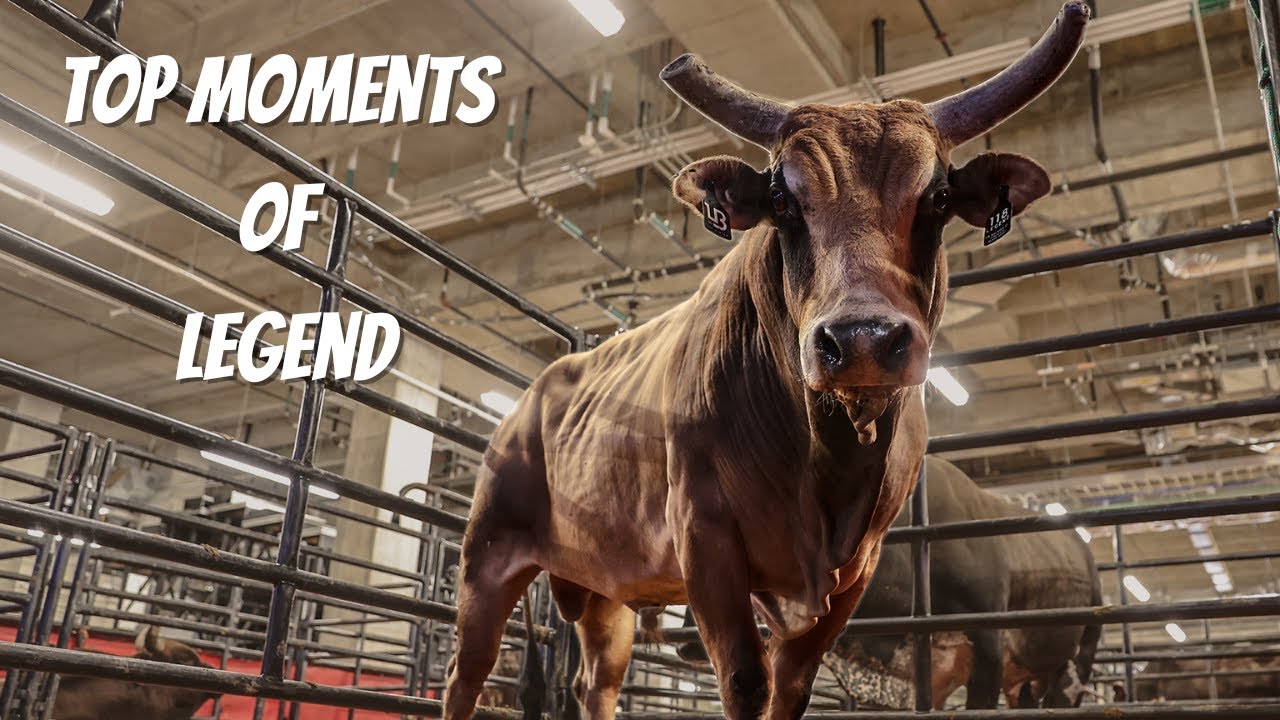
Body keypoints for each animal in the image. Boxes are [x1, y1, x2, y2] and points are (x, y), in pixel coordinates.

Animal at [441, 4, 1090, 720]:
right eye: (783, 201)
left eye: (940, 198)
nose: (862, 338)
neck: (826, 463)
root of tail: (537, 390)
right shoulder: (706, 541)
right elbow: (746, 681)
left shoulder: (855, 572)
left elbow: (793, 686)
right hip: (486, 557)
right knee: (467, 672)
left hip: (606, 589)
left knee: (596, 681)